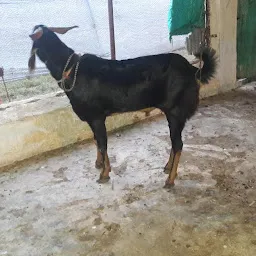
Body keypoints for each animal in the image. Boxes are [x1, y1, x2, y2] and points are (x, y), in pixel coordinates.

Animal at [28, 25, 216, 188]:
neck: (71, 69)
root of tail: (192, 69)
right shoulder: (93, 119)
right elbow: (97, 140)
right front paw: (99, 164)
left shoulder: (96, 117)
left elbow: (102, 143)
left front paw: (104, 174)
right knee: (174, 142)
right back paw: (167, 168)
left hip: (175, 111)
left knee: (178, 144)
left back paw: (170, 180)